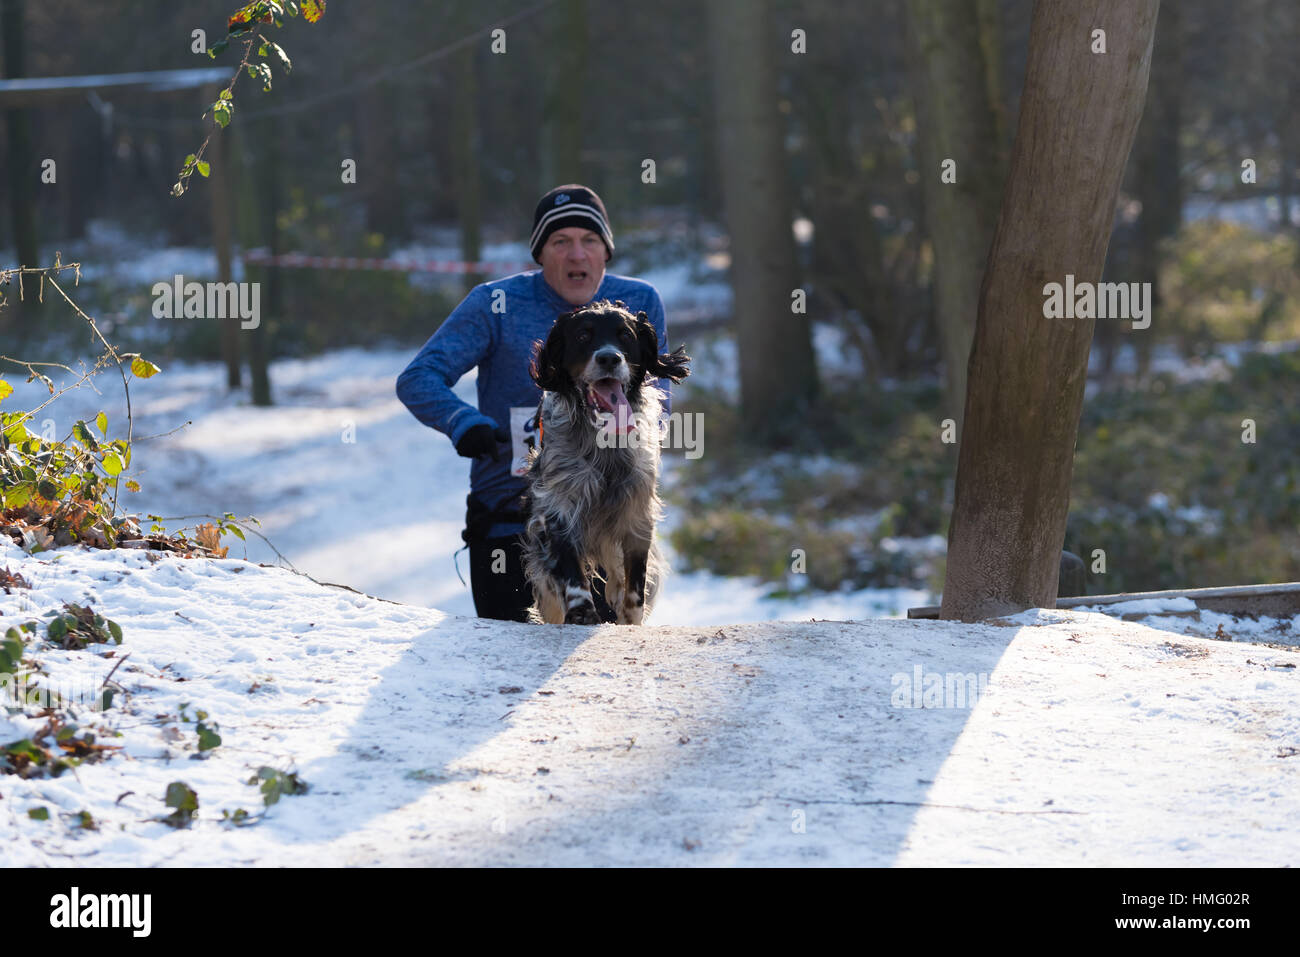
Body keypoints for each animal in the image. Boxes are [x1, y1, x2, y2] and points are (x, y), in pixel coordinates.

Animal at [525, 300, 696, 629]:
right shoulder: (561, 505)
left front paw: (629, 617)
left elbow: (634, 585)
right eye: (583, 336)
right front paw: (582, 611)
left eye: (625, 335)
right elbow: (570, 573)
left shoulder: (637, 510)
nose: (609, 358)